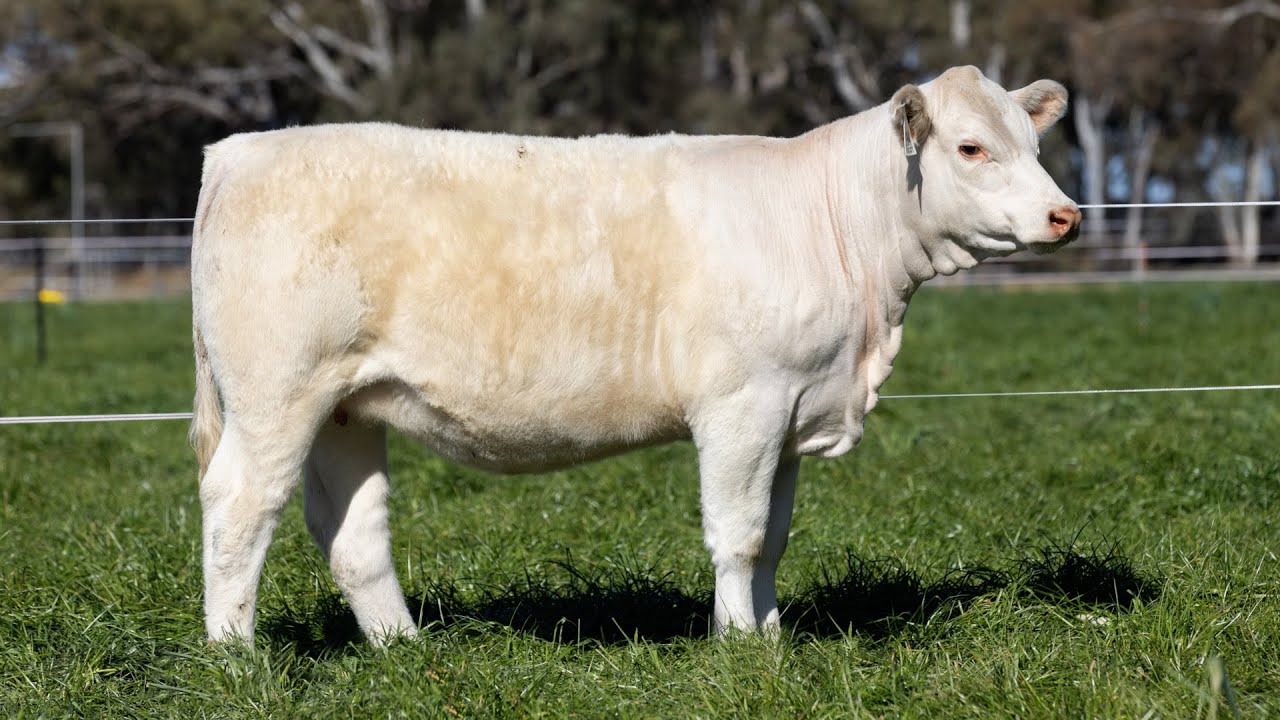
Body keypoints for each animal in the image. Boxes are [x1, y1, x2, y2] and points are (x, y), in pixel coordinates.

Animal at [190, 65, 1080, 645]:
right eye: (970, 148)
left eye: (1031, 142)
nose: (1065, 214)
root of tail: (239, 150)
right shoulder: (743, 405)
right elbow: (739, 534)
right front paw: (736, 648)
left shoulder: (795, 408)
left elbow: (775, 535)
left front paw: (770, 637)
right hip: (276, 394)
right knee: (240, 505)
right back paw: (236, 657)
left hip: (344, 405)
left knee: (352, 532)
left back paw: (404, 650)